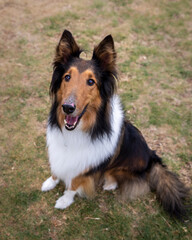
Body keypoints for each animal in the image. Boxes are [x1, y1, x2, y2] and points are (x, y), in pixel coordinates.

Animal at [41, 29, 188, 217]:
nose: (67, 107)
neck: (78, 130)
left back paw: (109, 183)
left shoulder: (86, 166)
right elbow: (56, 169)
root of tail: (152, 157)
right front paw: (50, 182)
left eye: (91, 81)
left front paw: (64, 200)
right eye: (67, 77)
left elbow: (74, 184)